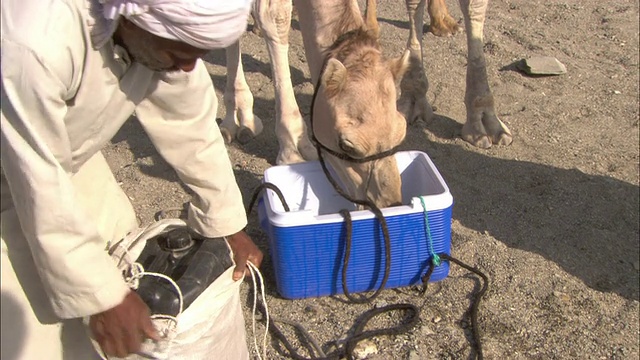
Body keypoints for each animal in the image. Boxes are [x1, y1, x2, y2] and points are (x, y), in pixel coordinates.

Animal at [218, 0, 512, 207]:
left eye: (401, 133)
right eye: (347, 146)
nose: (390, 201)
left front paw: (485, 123)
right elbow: (275, 14)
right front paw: (294, 145)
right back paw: (238, 118)